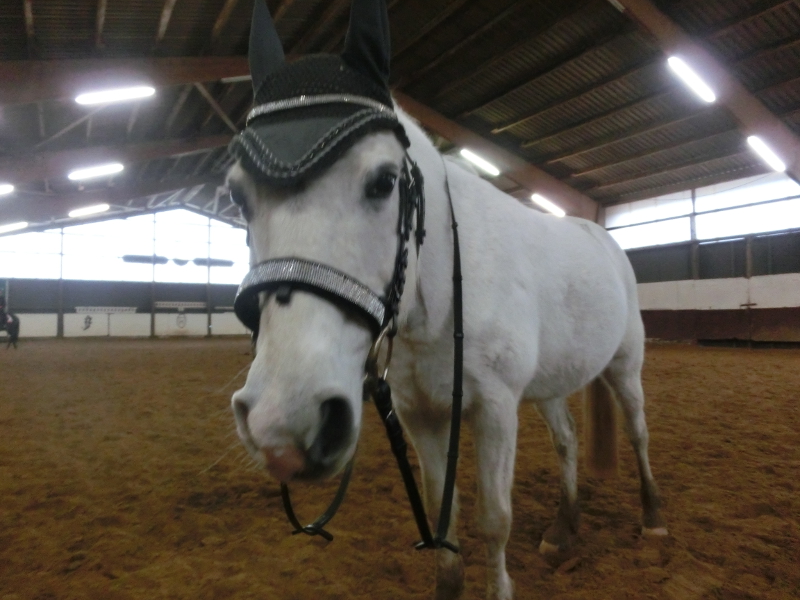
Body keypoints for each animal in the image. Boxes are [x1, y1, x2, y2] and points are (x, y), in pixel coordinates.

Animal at [228, 1, 667, 598]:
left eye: (384, 181)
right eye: (237, 194)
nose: (283, 420)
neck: (434, 309)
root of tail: (602, 236)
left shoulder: (496, 409)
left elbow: (494, 519)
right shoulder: (421, 417)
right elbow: (445, 516)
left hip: (625, 365)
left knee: (640, 432)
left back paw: (652, 518)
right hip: (552, 382)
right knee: (568, 442)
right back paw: (563, 529)